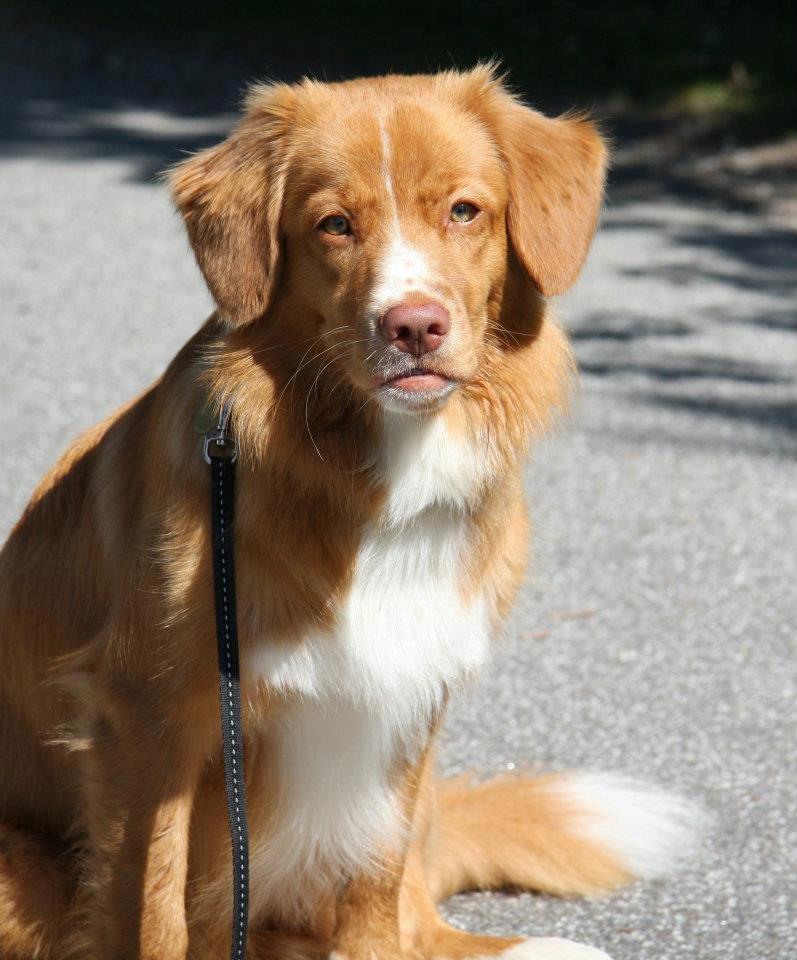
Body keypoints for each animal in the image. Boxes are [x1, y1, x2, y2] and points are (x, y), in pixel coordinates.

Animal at [0, 63, 700, 956]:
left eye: (463, 210)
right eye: (334, 225)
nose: (414, 326)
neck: (385, 475)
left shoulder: (406, 688)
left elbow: (374, 887)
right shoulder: (143, 717)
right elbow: (148, 911)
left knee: (416, 912)